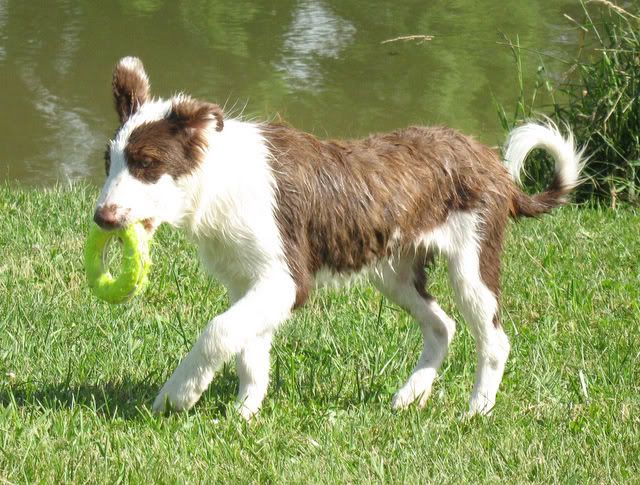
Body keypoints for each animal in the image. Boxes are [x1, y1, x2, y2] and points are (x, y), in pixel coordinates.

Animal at [96, 57, 584, 420]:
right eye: (108, 161)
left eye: (146, 163)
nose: (101, 217)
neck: (217, 180)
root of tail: (491, 163)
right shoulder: (248, 281)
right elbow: (248, 348)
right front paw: (245, 413)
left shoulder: (286, 280)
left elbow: (219, 331)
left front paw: (179, 395)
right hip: (395, 271)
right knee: (441, 325)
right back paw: (411, 395)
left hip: (472, 262)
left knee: (494, 339)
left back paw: (477, 409)